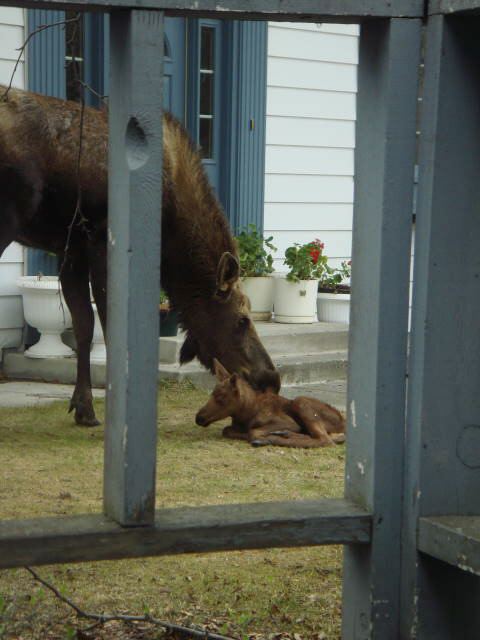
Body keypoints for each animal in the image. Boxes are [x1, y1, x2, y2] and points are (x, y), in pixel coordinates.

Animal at [0, 86, 280, 424]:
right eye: (242, 319)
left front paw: (84, 407)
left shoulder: (72, 251)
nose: (271, 378)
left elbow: (83, 326)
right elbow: (109, 329)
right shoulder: (101, 244)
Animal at [195, 358, 344, 448]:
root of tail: (344, 423)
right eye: (211, 394)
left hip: (301, 401)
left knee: (325, 440)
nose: (198, 418)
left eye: (221, 397)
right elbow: (226, 430)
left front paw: (262, 437)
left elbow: (253, 431)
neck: (245, 415)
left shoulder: (289, 422)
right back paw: (284, 434)